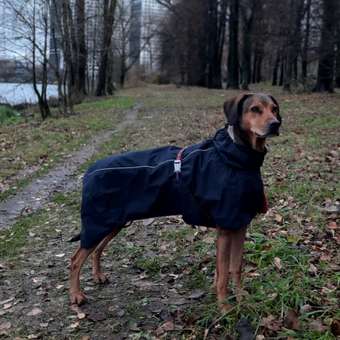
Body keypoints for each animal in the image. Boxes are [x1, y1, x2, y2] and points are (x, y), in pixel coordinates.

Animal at [68, 92, 282, 310]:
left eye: (274, 109)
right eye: (255, 109)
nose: (275, 124)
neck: (235, 156)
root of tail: (89, 171)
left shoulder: (239, 224)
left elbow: (235, 267)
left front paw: (242, 300)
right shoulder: (226, 226)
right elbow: (223, 274)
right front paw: (224, 307)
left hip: (114, 223)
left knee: (97, 250)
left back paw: (98, 276)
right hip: (99, 222)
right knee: (75, 259)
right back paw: (76, 295)